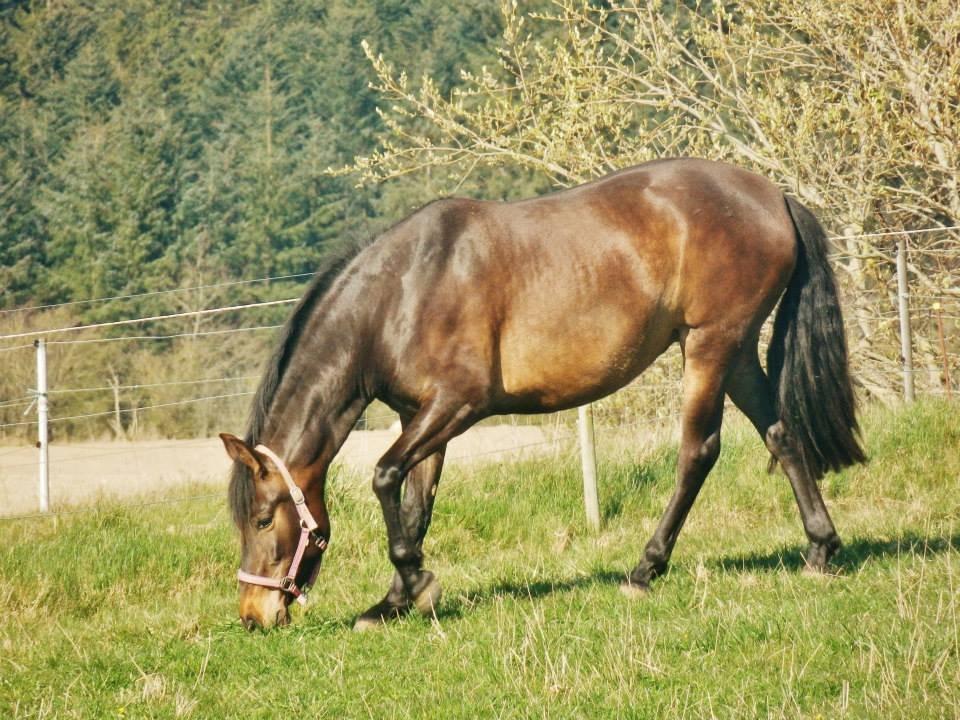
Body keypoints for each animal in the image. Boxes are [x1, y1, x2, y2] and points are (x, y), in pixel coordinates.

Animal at [221, 158, 868, 632]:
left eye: (262, 519)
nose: (254, 615)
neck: (402, 292)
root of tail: (774, 196)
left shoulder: (457, 405)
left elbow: (383, 478)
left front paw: (414, 585)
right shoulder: (420, 417)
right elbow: (414, 505)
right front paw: (396, 600)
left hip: (710, 346)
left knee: (698, 452)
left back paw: (644, 569)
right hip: (734, 353)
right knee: (781, 435)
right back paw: (820, 550)